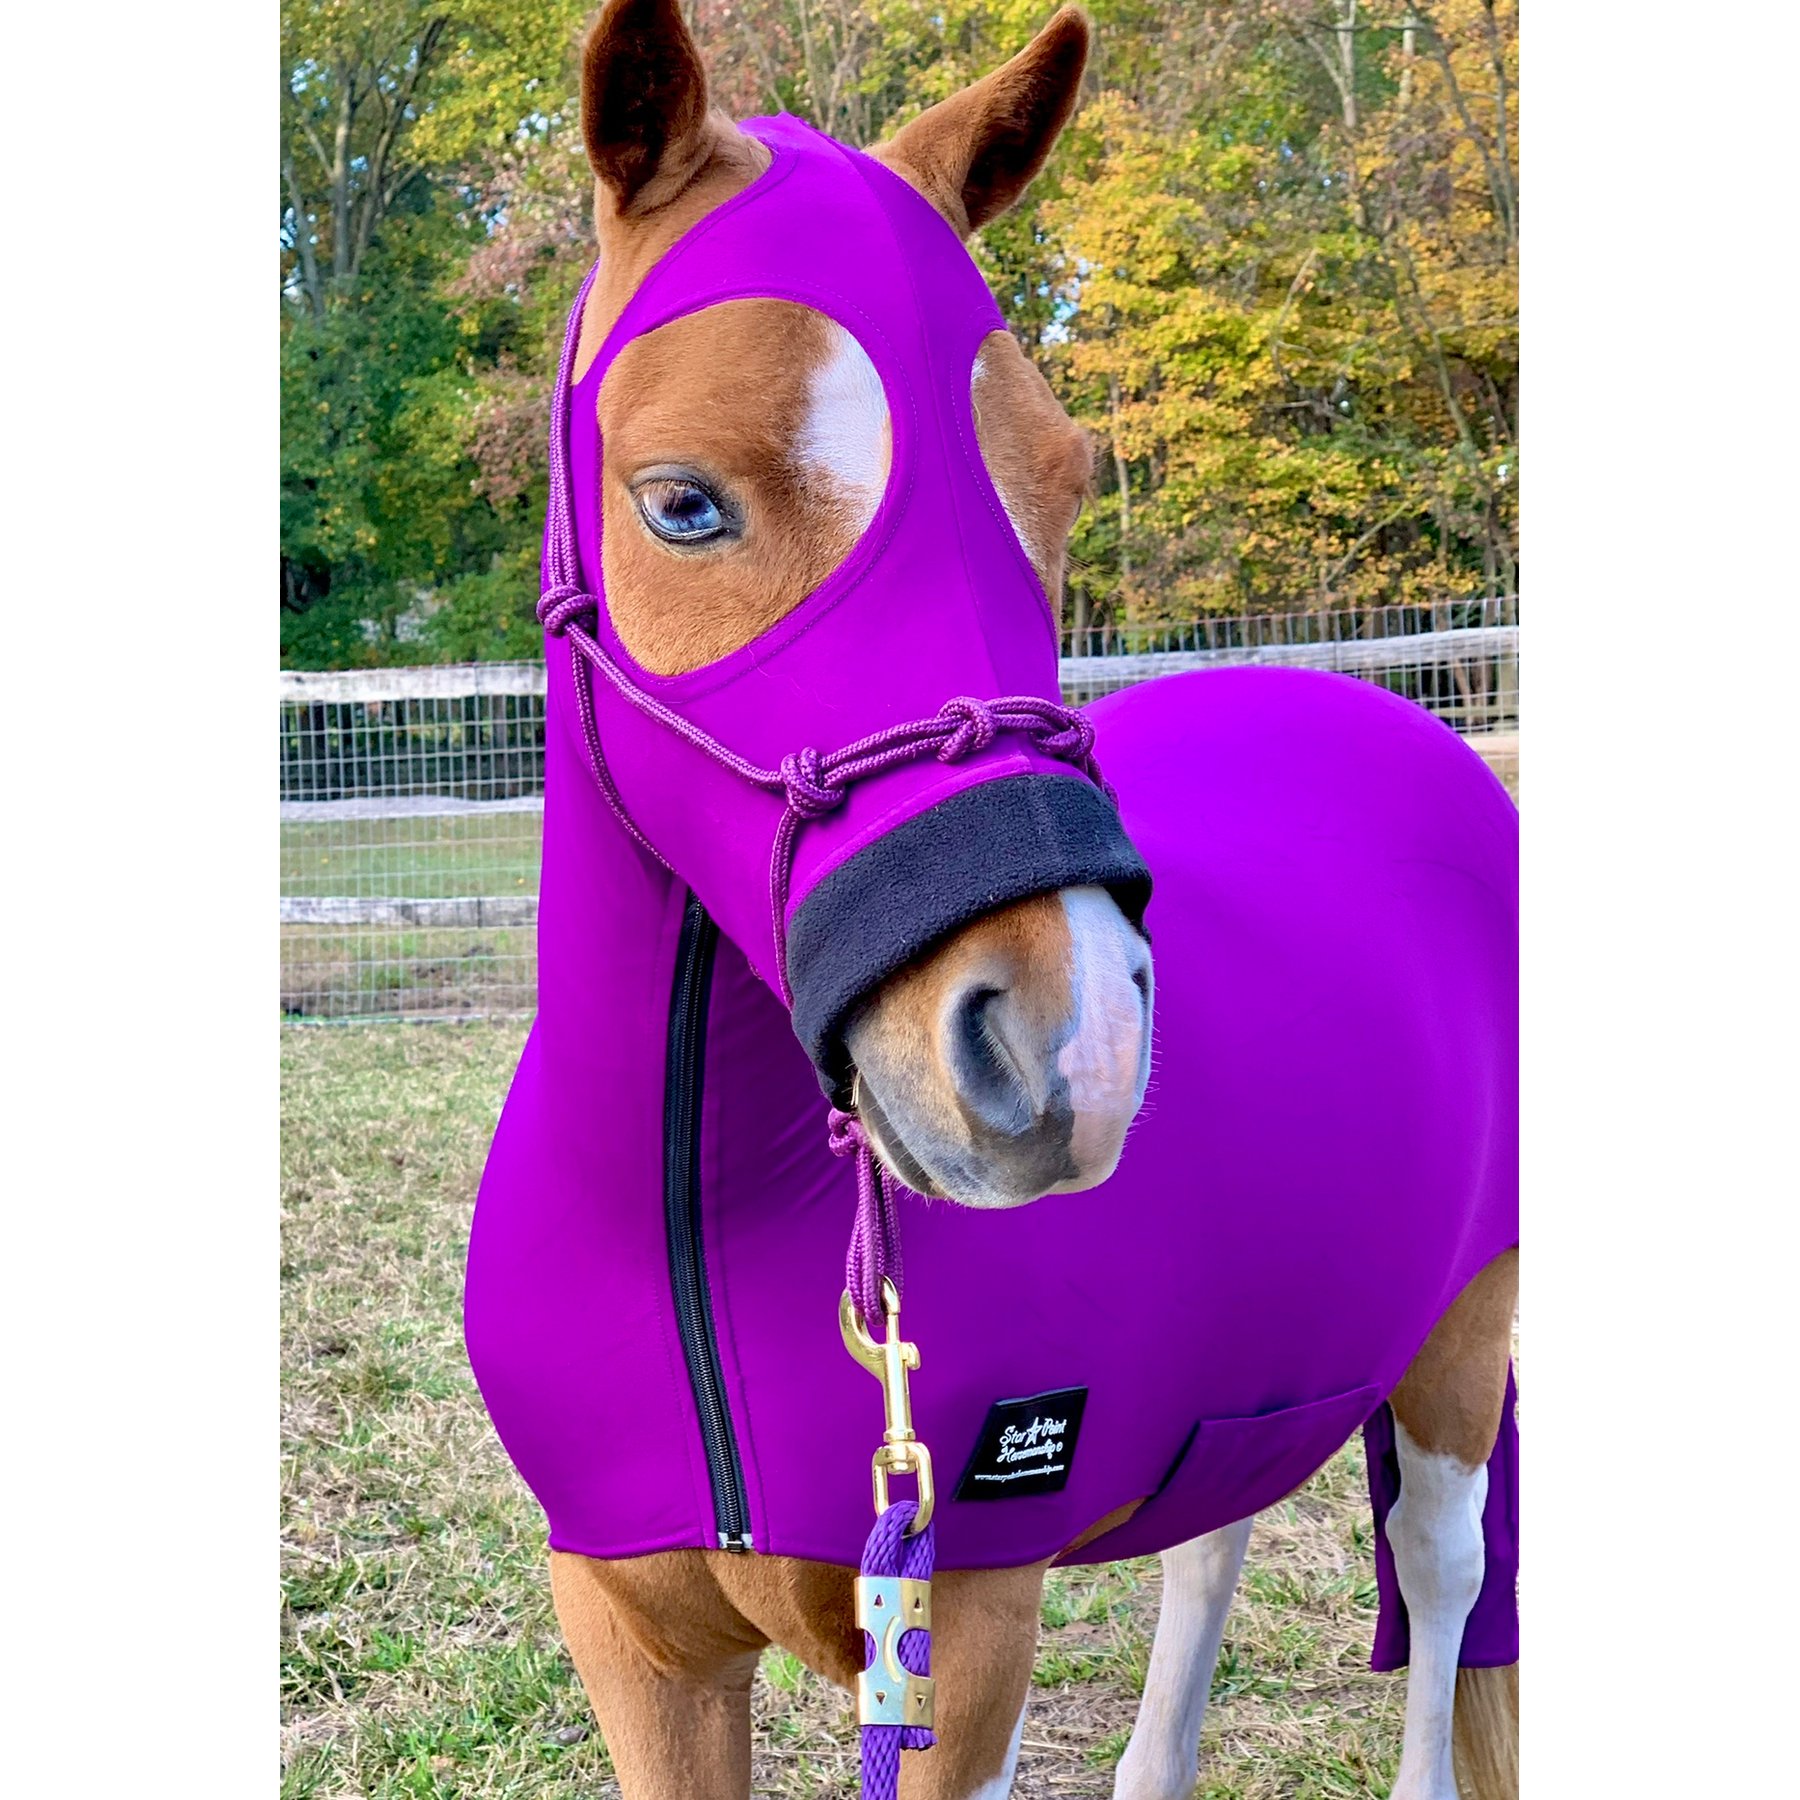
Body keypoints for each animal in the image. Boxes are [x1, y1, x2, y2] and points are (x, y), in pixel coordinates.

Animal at [463, 6, 1520, 1798]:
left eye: (1064, 479)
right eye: (680, 500)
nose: (1067, 1051)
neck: (690, 1222)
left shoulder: (959, 1645)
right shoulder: (638, 1646)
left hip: (1465, 1328)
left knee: (1442, 1579)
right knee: (1215, 1541)